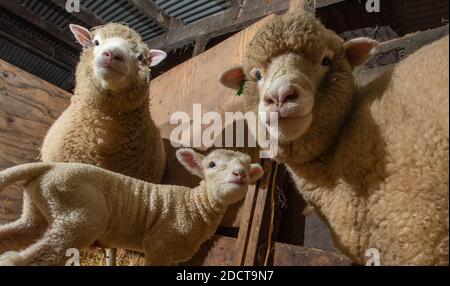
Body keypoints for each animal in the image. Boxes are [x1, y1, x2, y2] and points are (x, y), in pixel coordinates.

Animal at [0, 150, 264, 266]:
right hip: (78, 214)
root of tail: (49, 166)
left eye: (246, 166)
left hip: (39, 211)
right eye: (211, 164)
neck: (195, 205)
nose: (240, 174)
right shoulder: (160, 244)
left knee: (15, 234)